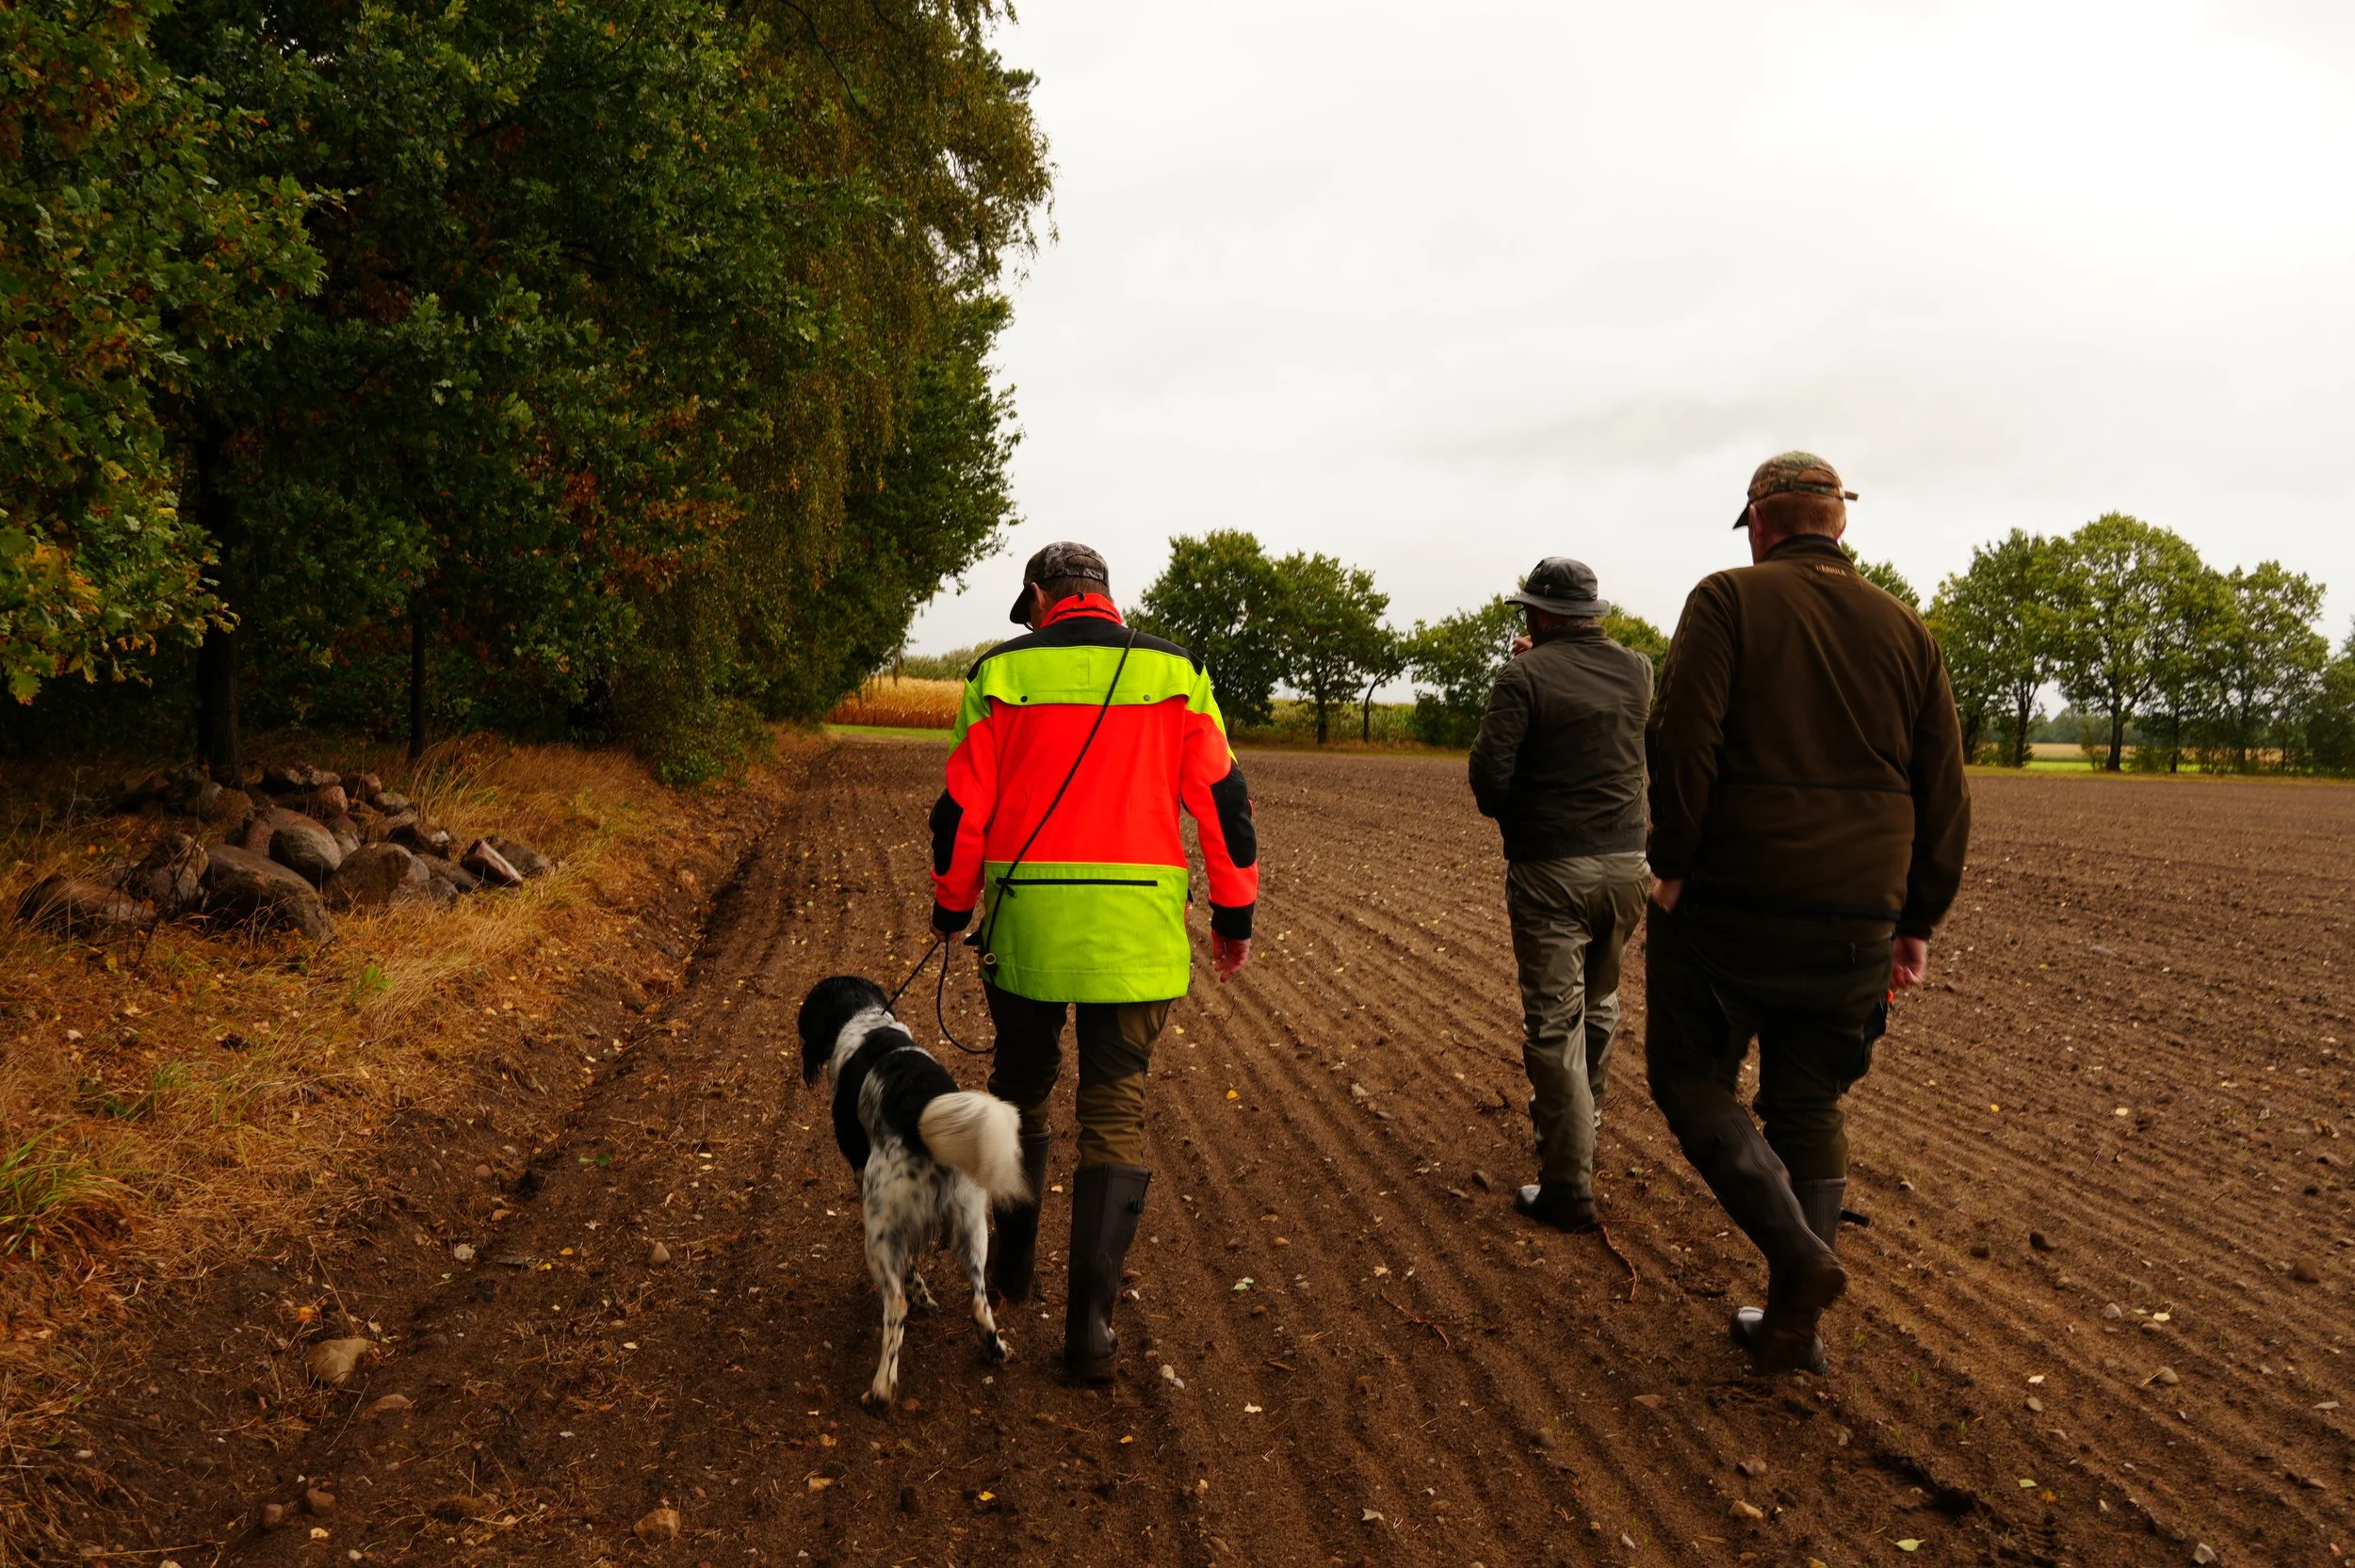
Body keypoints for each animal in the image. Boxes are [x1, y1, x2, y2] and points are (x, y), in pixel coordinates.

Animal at [797, 975, 1027, 1412]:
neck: (864, 1020)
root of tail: (918, 1114)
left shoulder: (861, 1173)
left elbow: (909, 1271)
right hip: (973, 1223)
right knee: (979, 1300)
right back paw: (995, 1350)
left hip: (879, 1231)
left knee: (896, 1307)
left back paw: (881, 1390)